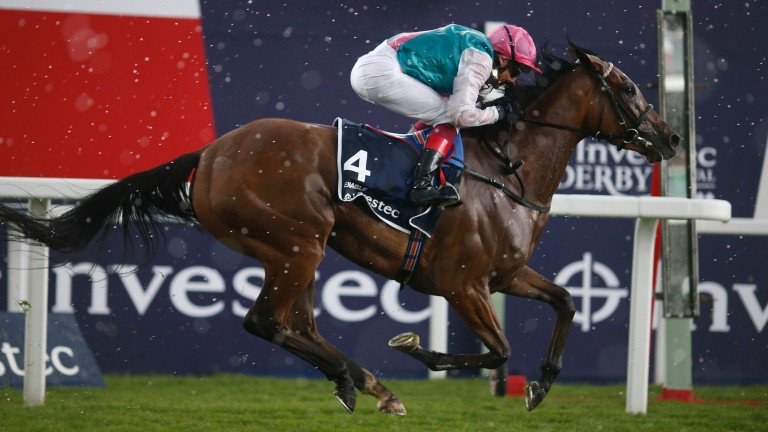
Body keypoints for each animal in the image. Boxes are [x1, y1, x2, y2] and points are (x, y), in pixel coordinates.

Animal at [4, 41, 680, 416]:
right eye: (626, 87)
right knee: (265, 322)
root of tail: (212, 154)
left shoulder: (506, 275)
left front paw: (540, 385)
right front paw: (417, 349)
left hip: (298, 249)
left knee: (294, 324)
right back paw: (367, 380)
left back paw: (364, 383)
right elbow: (497, 349)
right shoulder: (464, 284)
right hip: (294, 243)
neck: (506, 172)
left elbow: (565, 300)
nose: (671, 137)